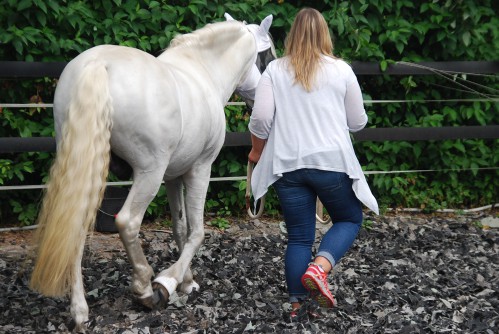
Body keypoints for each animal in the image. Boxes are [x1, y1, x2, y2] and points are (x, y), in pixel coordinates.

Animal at [28, 15, 274, 332]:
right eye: (267, 58)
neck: (203, 72)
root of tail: (97, 65)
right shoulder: (199, 169)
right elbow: (197, 232)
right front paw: (168, 281)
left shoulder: (173, 177)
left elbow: (179, 227)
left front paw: (187, 282)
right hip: (149, 173)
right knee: (128, 222)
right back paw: (145, 288)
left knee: (76, 226)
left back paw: (80, 311)